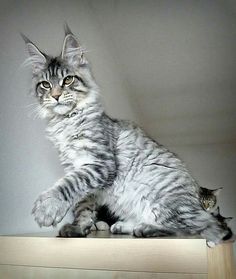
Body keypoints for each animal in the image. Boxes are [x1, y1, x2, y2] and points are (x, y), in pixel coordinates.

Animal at [23, 25, 233, 246]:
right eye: (45, 85)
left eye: (68, 80)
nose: (55, 96)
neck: (66, 121)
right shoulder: (76, 167)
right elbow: (82, 205)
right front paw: (79, 228)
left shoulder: (100, 164)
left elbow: (69, 184)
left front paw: (47, 207)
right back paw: (124, 226)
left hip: (167, 203)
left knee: (194, 228)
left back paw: (147, 228)